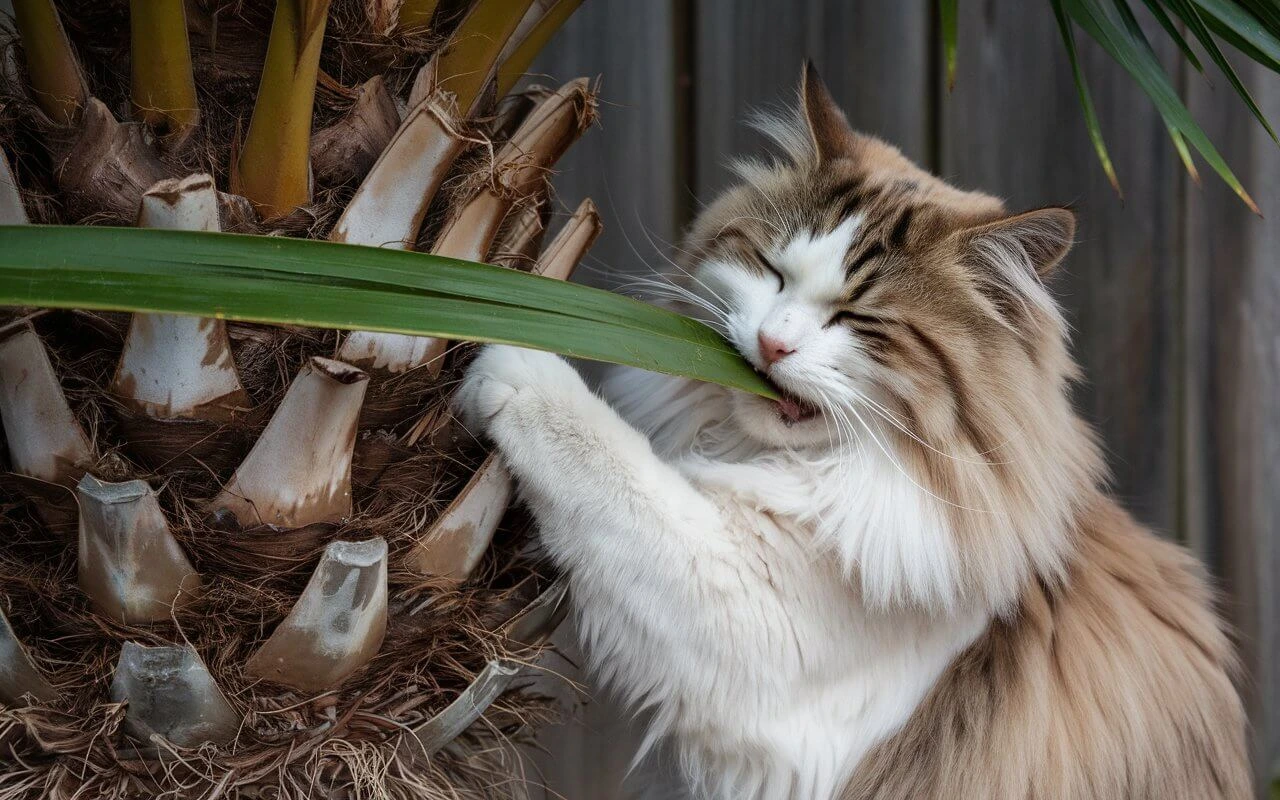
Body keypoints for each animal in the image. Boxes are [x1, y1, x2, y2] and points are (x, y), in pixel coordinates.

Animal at [453, 64, 1249, 798]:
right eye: (771, 272)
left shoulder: (752, 626)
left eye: (858, 320)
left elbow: (610, 464)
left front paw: (508, 348)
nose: (772, 344)